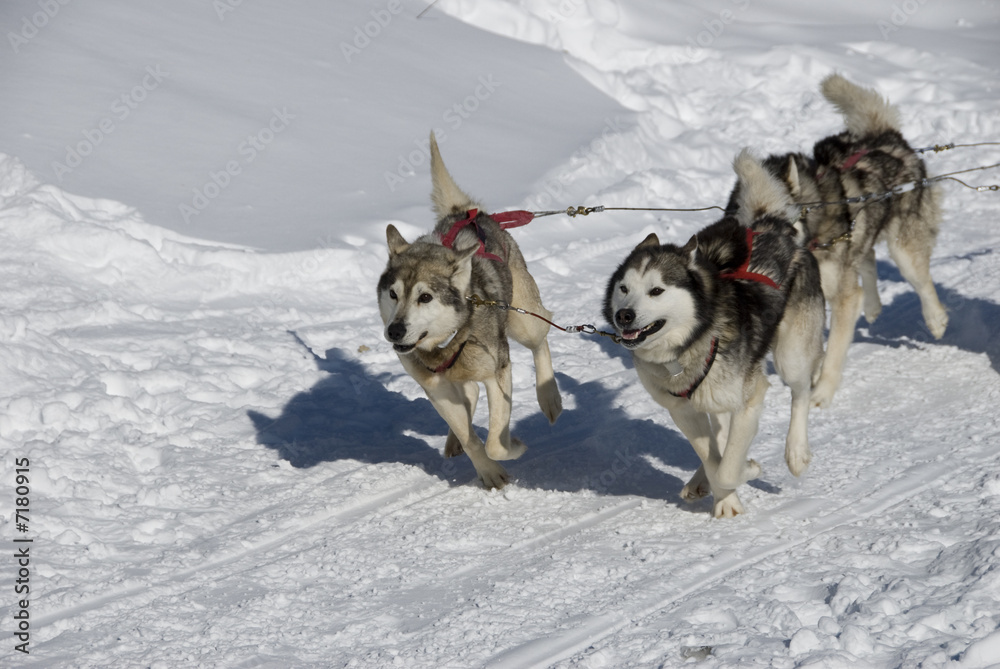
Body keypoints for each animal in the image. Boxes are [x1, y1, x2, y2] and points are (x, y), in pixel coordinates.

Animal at [376, 132, 564, 486]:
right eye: (393, 294)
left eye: (425, 297)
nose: (394, 330)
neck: (448, 343)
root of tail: (467, 214)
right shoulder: (435, 388)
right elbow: (470, 436)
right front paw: (488, 472)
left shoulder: (498, 370)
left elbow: (494, 441)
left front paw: (511, 448)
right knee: (470, 394)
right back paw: (453, 441)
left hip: (523, 323)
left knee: (541, 337)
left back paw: (550, 398)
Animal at [604, 151, 824, 516]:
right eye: (624, 288)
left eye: (656, 291)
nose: (624, 315)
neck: (688, 347)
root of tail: (769, 225)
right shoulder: (683, 410)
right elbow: (712, 458)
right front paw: (724, 497)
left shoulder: (750, 397)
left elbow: (728, 465)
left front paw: (746, 471)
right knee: (718, 434)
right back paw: (699, 480)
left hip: (789, 356)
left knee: (801, 391)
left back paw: (796, 452)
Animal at [732, 74, 948, 408]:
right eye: (742, 224)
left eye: (767, 220)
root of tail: (886, 136)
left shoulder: (841, 296)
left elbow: (833, 348)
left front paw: (821, 392)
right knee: (867, 256)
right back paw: (873, 305)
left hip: (903, 248)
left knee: (920, 280)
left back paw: (935, 319)